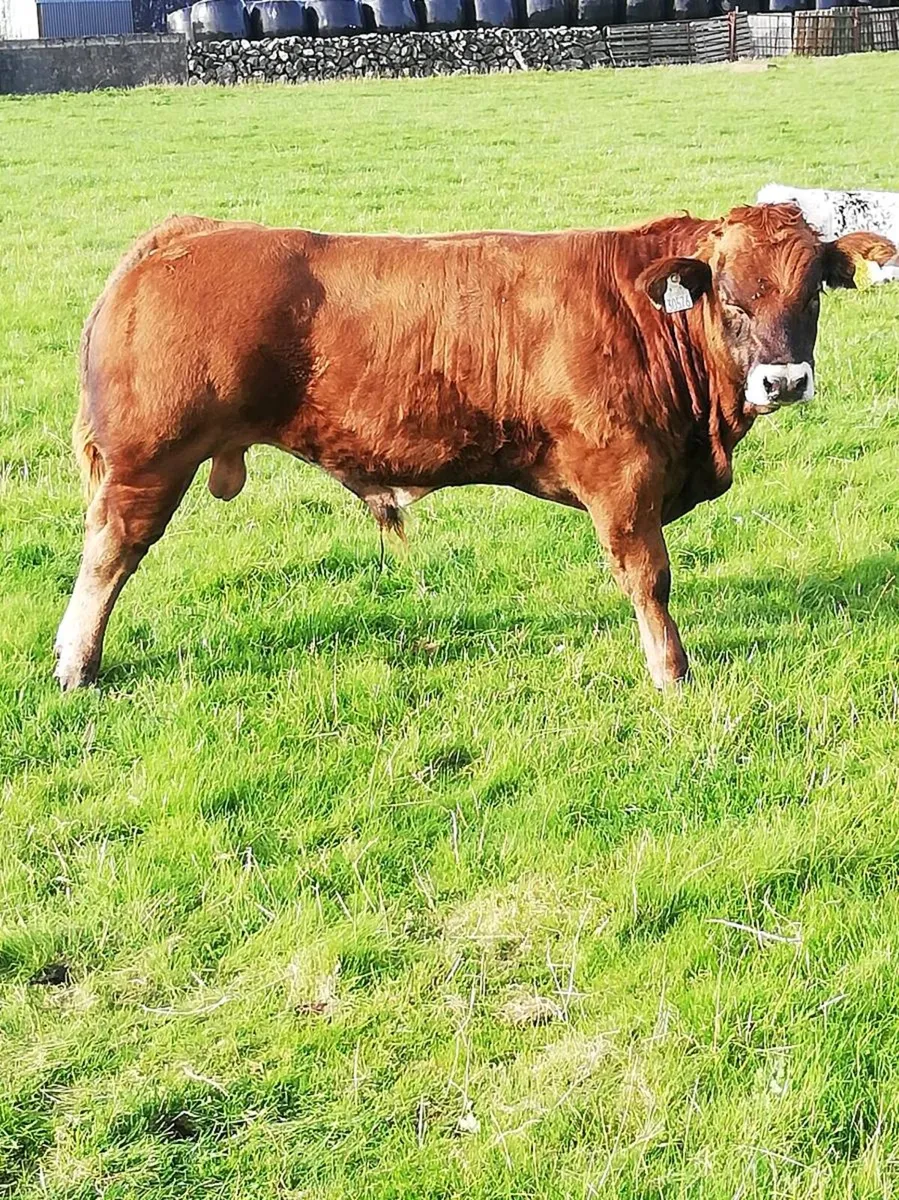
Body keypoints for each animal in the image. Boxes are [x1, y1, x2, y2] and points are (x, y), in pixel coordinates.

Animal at [54, 203, 893, 693]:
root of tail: (184, 232)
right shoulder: (621, 478)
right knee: (109, 556)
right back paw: (77, 664)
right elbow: (649, 579)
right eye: (729, 296)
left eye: (811, 291)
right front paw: (670, 671)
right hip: (149, 461)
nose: (783, 380)